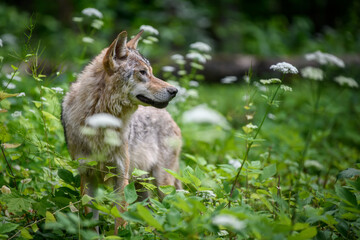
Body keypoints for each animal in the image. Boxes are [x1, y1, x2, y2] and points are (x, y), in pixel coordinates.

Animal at [61, 29, 183, 231]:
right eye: (143, 72)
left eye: (151, 72)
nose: (174, 91)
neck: (100, 121)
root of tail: (171, 118)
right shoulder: (87, 174)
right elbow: (90, 220)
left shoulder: (121, 175)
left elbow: (120, 218)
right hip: (142, 187)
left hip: (162, 184)